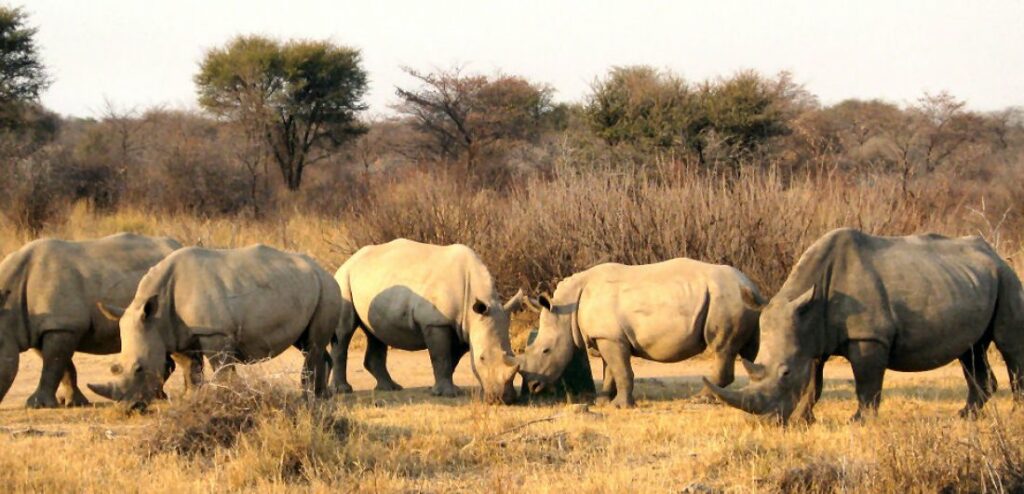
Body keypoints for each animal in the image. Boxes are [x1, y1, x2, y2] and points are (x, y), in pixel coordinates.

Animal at [0, 233, 183, 407]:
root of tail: (178, 244)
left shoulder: (62, 326)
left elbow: (53, 365)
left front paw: (38, 405)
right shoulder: (43, 328)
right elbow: (64, 366)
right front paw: (74, 402)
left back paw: (157, 397)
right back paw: (157, 396)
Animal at [88, 242, 339, 405]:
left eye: (139, 368)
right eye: (115, 368)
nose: (128, 407)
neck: (155, 315)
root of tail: (324, 269)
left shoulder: (215, 333)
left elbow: (221, 369)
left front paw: (226, 397)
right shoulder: (174, 333)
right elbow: (190, 369)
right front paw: (190, 399)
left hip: (326, 287)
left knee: (313, 345)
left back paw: (307, 398)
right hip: (305, 286)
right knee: (307, 343)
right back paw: (323, 396)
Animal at [331, 238, 524, 405]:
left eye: (512, 354)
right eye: (482, 358)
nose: (504, 399)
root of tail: (350, 259)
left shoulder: (465, 327)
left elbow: (452, 359)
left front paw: (438, 389)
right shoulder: (436, 322)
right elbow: (441, 357)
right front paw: (447, 394)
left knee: (376, 334)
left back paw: (390, 388)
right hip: (344, 279)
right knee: (344, 331)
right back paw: (343, 390)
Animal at [520, 258, 761, 409]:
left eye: (546, 350)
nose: (533, 386)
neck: (566, 310)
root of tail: (750, 285)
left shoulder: (610, 337)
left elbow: (622, 371)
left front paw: (621, 406)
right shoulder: (607, 336)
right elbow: (610, 372)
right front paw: (603, 402)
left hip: (726, 299)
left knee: (722, 349)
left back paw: (699, 399)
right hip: (738, 300)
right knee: (748, 352)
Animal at [704, 228, 1024, 424]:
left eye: (785, 373)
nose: (768, 421)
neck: (808, 303)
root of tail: (994, 253)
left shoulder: (869, 337)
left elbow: (866, 383)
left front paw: (858, 421)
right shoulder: (811, 336)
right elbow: (812, 383)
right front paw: (803, 420)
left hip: (1006, 276)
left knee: (1009, 345)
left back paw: (1014, 413)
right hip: (971, 280)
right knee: (971, 350)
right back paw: (965, 415)